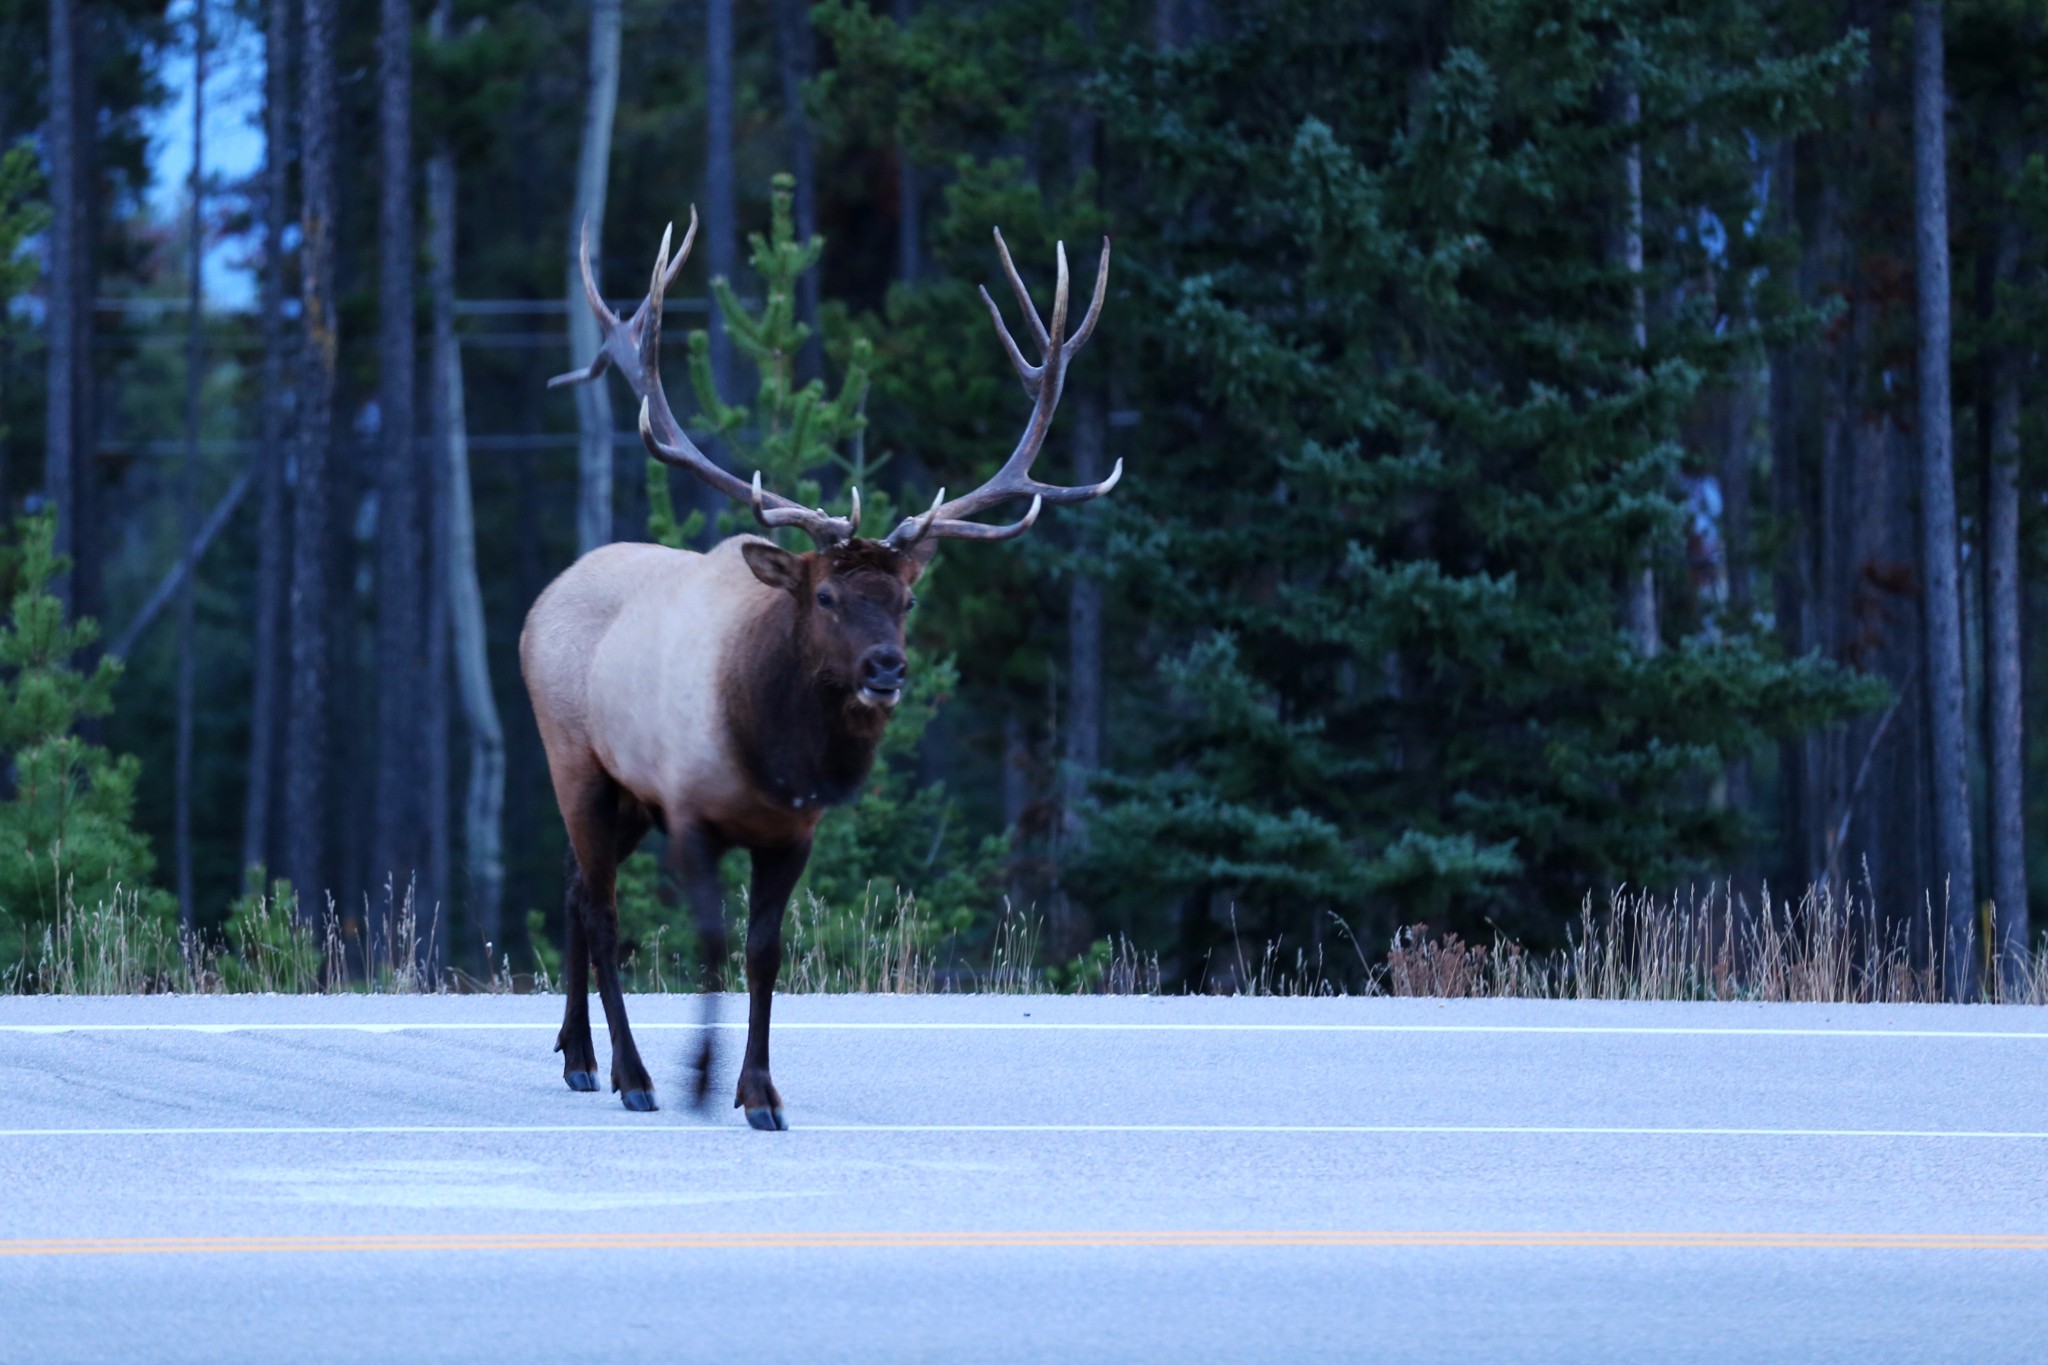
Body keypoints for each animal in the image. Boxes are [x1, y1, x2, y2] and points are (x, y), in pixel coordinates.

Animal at [520, 208, 1114, 1129]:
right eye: (827, 594)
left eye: (907, 597)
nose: (887, 667)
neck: (770, 756)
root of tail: (546, 593)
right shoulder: (687, 808)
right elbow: (710, 940)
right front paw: (697, 1076)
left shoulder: (792, 832)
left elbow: (764, 951)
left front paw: (759, 1091)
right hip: (575, 758)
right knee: (601, 902)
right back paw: (628, 1072)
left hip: (625, 794)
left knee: (578, 888)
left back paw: (578, 1055)